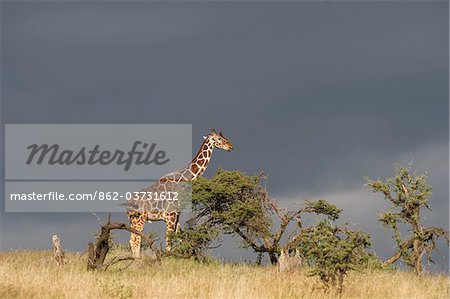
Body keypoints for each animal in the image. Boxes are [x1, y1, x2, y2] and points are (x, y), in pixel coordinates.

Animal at [125, 130, 234, 258]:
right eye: (219, 139)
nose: (231, 147)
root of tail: (127, 204)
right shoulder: (170, 217)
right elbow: (169, 244)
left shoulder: (176, 217)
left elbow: (182, 239)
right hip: (139, 219)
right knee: (136, 239)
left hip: (133, 220)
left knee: (132, 239)